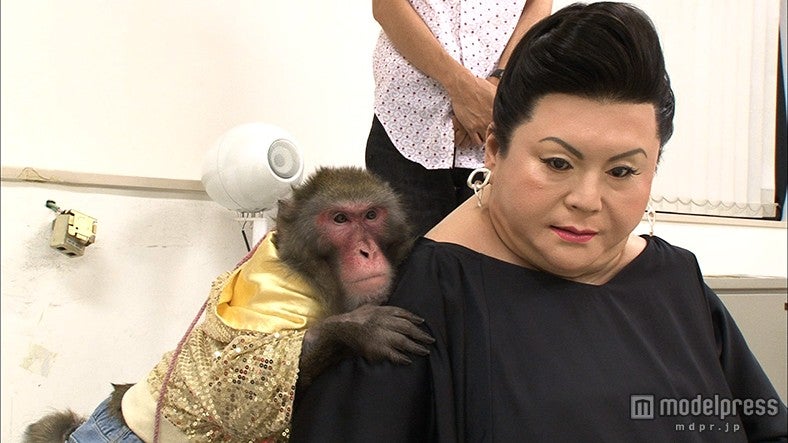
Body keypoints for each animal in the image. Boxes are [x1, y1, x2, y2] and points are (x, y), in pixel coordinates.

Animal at [23, 166, 433, 443]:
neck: (311, 274)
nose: (366, 252)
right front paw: (359, 328)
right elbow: (234, 382)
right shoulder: (278, 303)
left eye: (371, 215)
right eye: (339, 219)